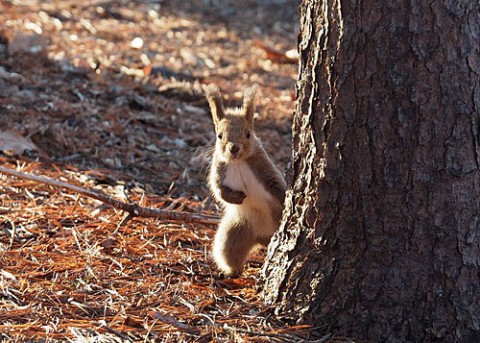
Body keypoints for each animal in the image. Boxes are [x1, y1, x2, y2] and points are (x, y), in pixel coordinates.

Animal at [205, 84, 286, 278]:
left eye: (248, 134)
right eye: (219, 135)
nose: (234, 148)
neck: (238, 162)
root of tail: (263, 237)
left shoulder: (264, 167)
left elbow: (276, 184)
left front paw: (286, 198)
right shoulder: (219, 169)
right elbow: (218, 189)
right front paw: (235, 197)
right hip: (237, 231)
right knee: (229, 252)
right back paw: (231, 273)